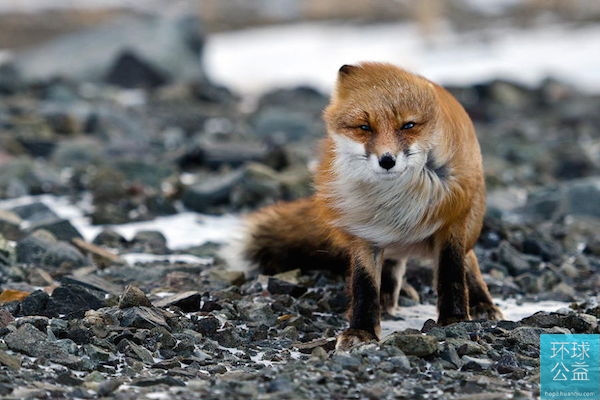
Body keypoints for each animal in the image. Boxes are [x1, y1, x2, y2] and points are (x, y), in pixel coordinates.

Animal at [239, 61, 502, 350]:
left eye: (408, 125)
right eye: (364, 127)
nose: (387, 161)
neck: (394, 200)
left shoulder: (452, 221)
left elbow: (451, 273)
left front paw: (454, 319)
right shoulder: (363, 229)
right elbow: (364, 286)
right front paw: (362, 331)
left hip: (469, 223)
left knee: (469, 259)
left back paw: (482, 303)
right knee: (391, 267)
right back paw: (387, 301)